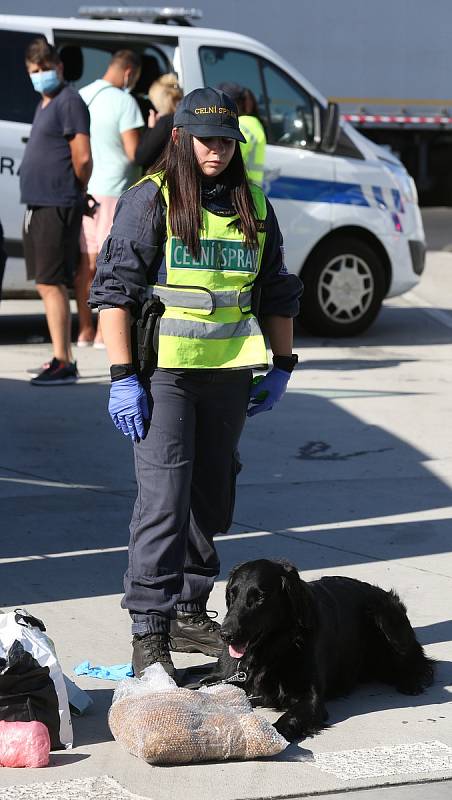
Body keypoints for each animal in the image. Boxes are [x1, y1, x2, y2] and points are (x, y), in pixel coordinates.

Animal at [203, 560, 432, 740]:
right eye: (232, 594)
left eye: (260, 597)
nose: (226, 634)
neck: (274, 647)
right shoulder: (219, 678)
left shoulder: (310, 698)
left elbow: (287, 720)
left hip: (385, 618)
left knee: (421, 662)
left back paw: (411, 681)